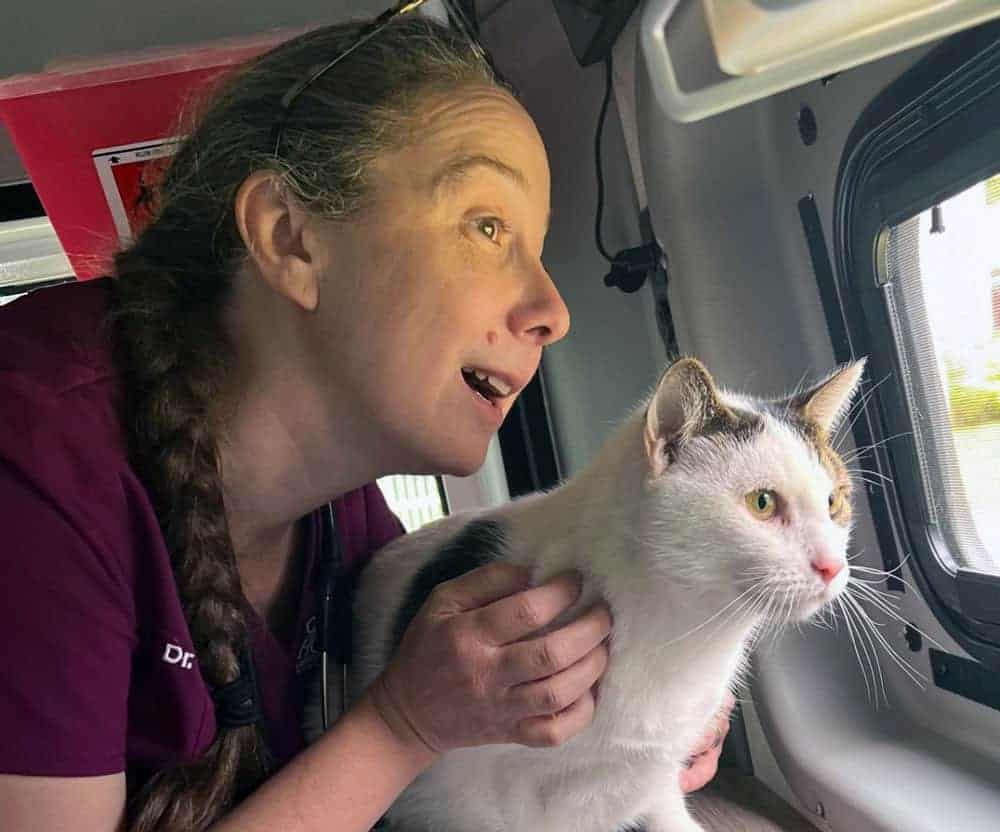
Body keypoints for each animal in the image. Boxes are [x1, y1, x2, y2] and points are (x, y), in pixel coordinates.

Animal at [350, 356, 860, 832]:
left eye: (834, 502)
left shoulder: (655, 774)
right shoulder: (463, 798)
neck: (682, 638)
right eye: (762, 503)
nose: (833, 566)